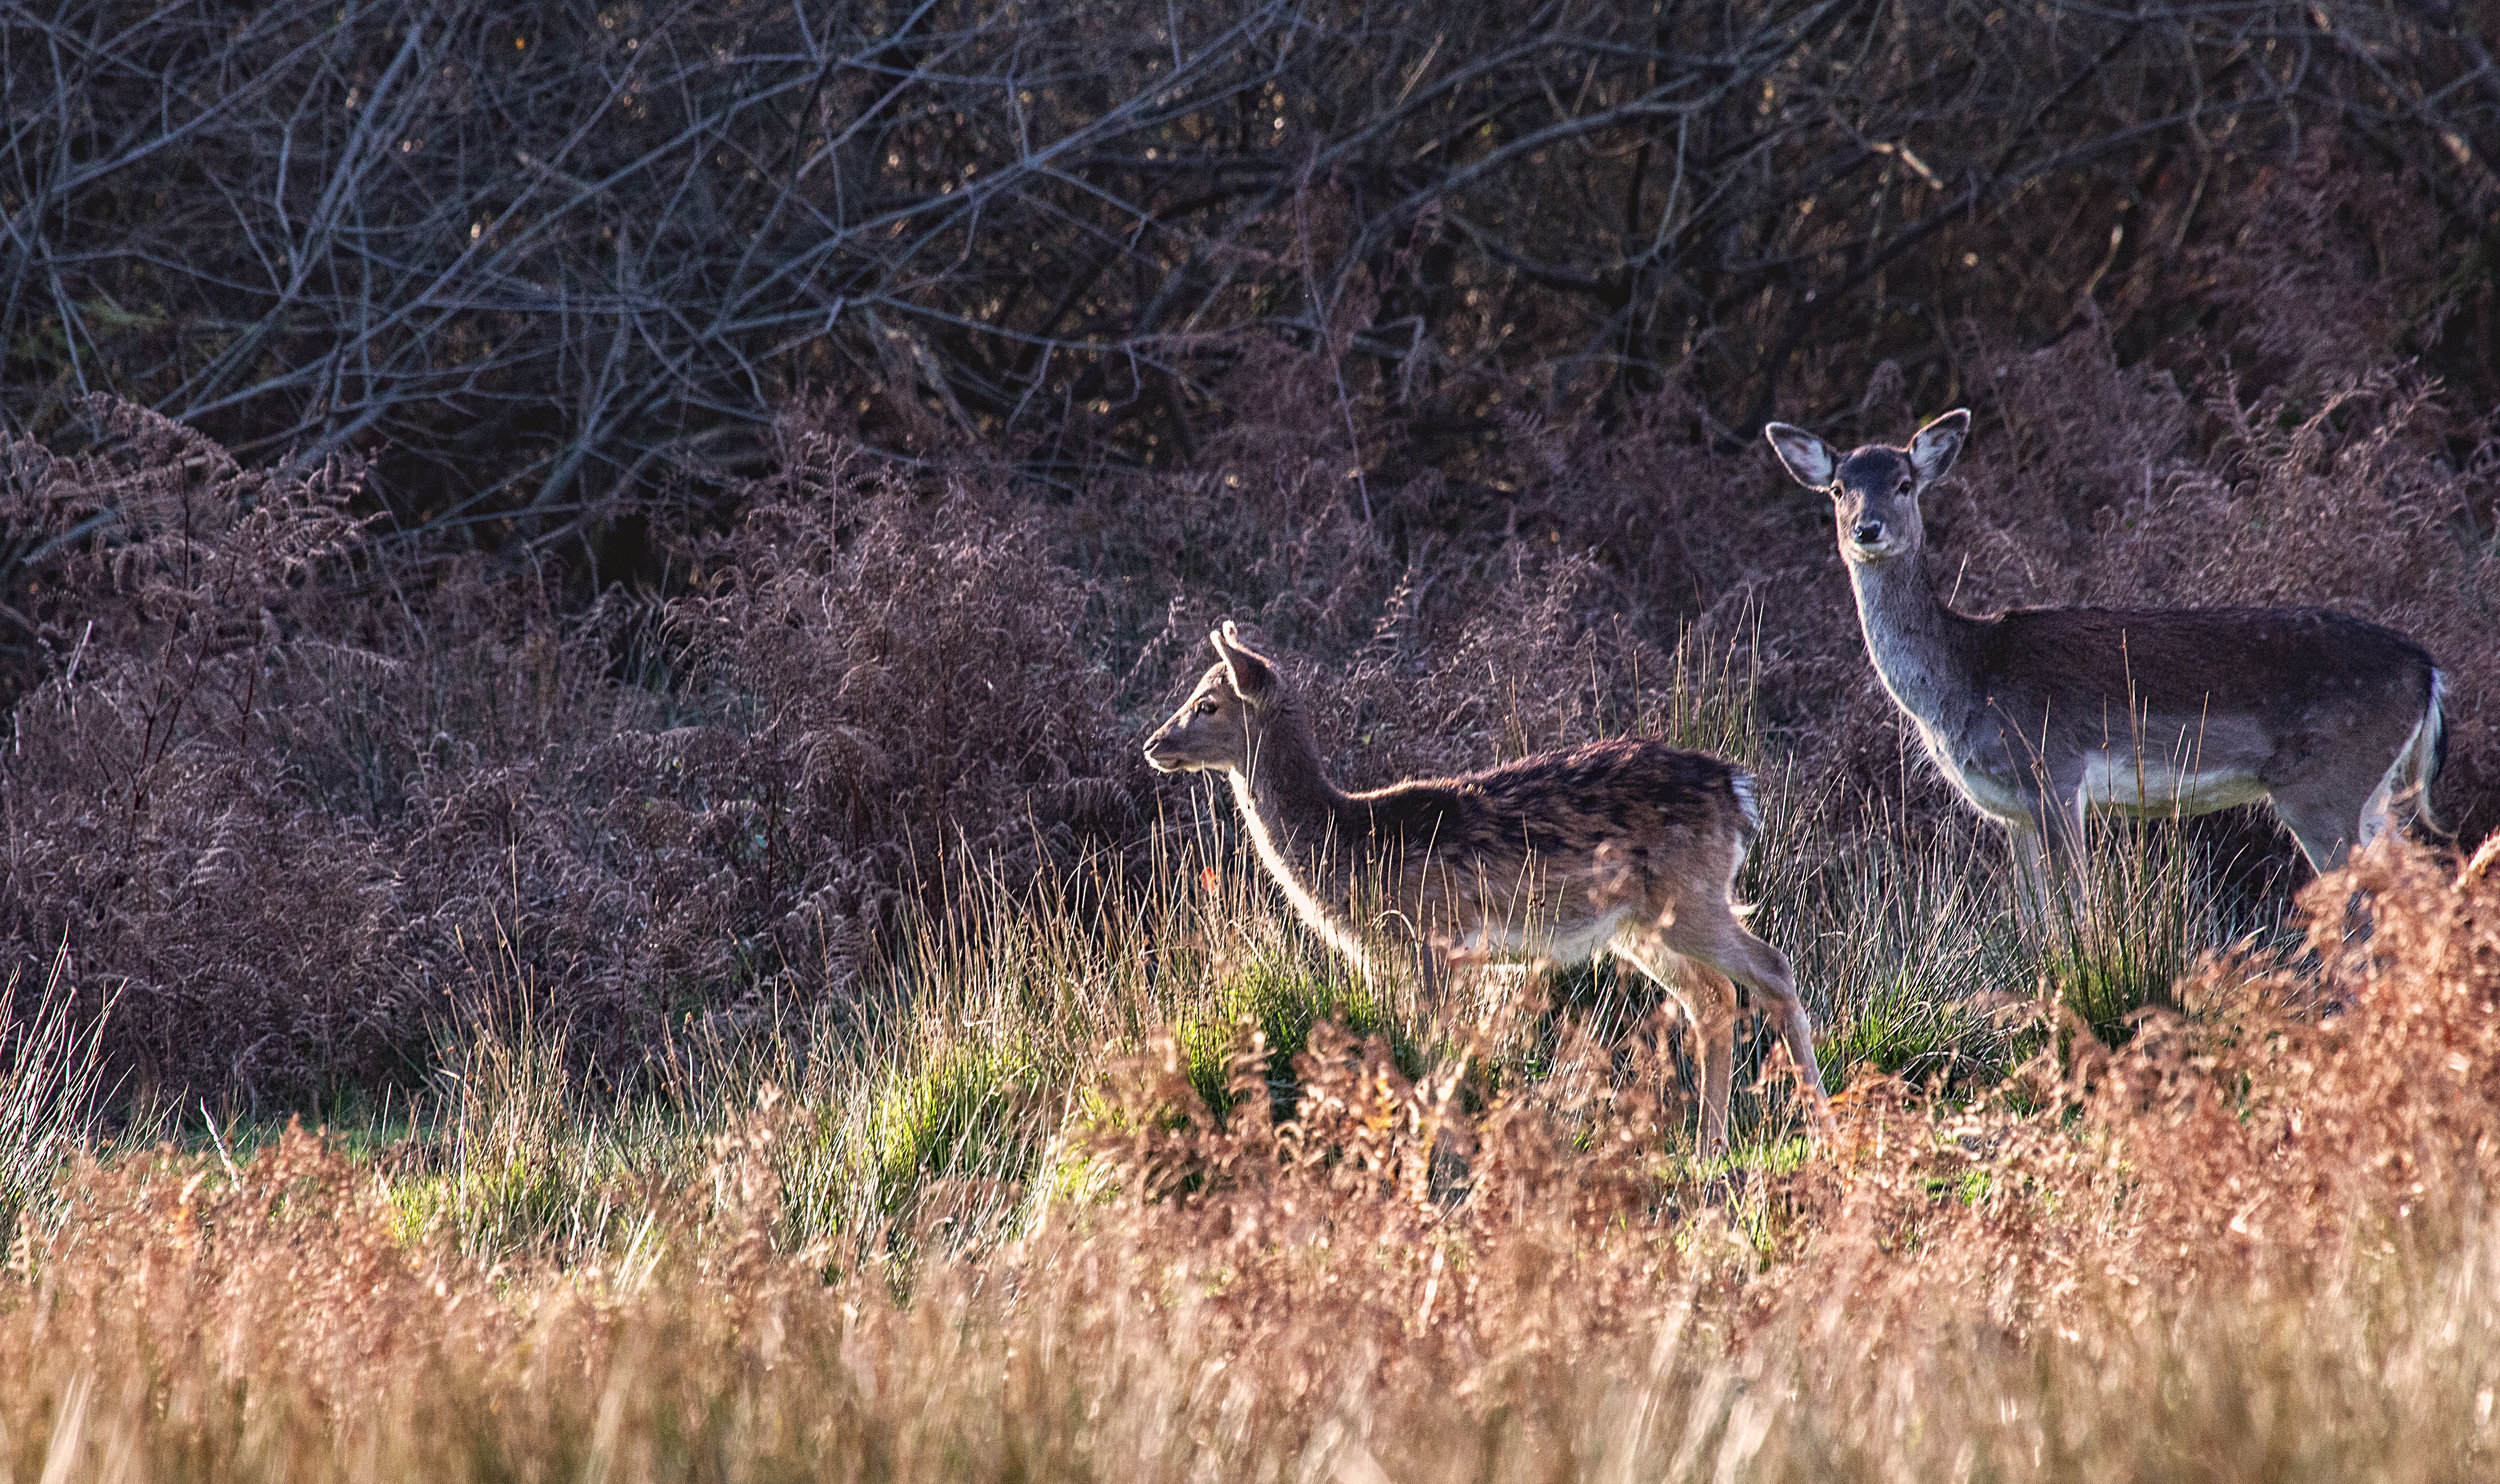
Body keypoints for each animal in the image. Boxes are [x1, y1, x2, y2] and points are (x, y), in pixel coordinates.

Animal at [1145, 617, 1830, 1149]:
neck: (1351, 844)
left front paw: (1439, 1158)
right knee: (1711, 996)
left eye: (1207, 704)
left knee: (1770, 969)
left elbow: (1433, 1051)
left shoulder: (1434, 937)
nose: (1154, 743)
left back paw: (1819, 1127)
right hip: (1640, 926)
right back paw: (1710, 1144)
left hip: (1690, 896)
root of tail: (1737, 793)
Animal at [1760, 404, 2440, 894]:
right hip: (2377, 797)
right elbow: (2034, 925)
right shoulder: (2010, 812)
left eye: (1904, 484)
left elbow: (2076, 916)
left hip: (2323, 786)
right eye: (1838, 488)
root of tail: (2428, 670)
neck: (1966, 678)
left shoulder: (2055, 774)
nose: (1866, 528)